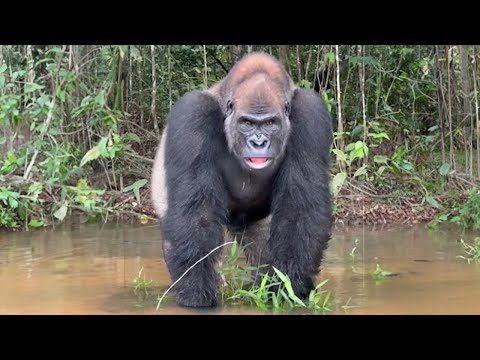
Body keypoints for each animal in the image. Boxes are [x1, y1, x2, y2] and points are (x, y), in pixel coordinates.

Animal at [152, 52, 332, 308]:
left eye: (270, 123)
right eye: (247, 123)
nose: (258, 143)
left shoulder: (311, 113)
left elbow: (300, 211)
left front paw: (292, 287)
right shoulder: (191, 114)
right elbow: (197, 216)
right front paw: (195, 291)